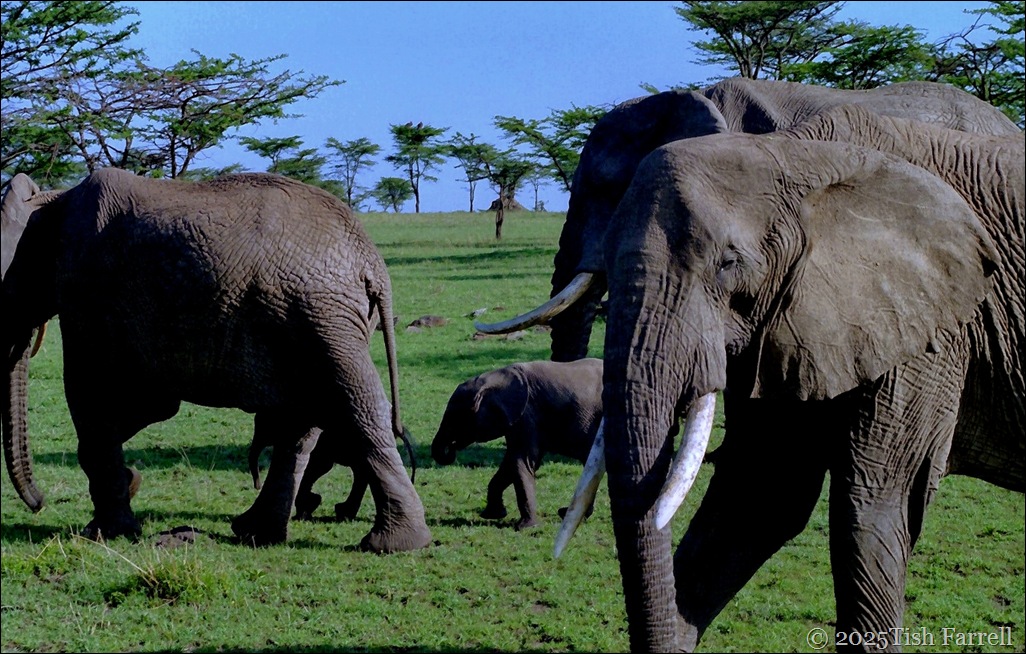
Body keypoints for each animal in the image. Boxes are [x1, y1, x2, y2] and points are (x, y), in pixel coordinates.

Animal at [248, 414, 417, 522]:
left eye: (265, 426)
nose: (258, 486)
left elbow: (317, 465)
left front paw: (305, 509)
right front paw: (309, 506)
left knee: (360, 471)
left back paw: (343, 513)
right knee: (361, 471)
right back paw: (344, 513)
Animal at [431, 358, 604, 530]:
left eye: (454, 419)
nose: (453, 446)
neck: (495, 378)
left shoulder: (526, 414)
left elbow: (520, 461)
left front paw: (525, 527)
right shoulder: (516, 419)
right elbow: (509, 464)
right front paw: (493, 515)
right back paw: (566, 513)